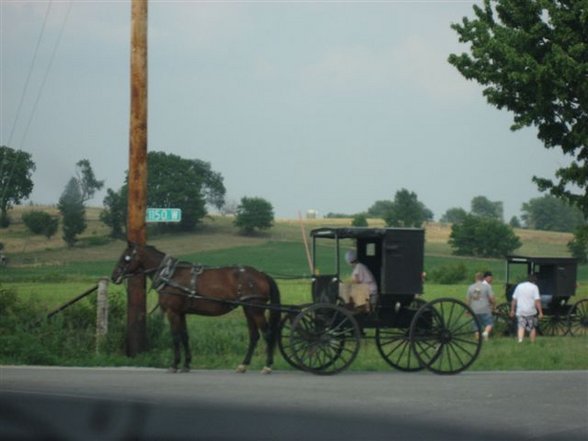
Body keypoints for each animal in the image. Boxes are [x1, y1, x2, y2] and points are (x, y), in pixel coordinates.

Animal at [113, 242, 284, 372]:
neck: (170, 275)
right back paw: (243, 365)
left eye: (126, 258)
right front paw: (186, 364)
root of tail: (261, 275)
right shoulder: (181, 313)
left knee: (268, 334)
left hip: (256, 309)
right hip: (248, 309)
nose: (114, 276)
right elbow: (184, 336)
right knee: (254, 336)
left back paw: (267, 366)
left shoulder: (172, 312)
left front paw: (174, 364)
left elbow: (175, 337)